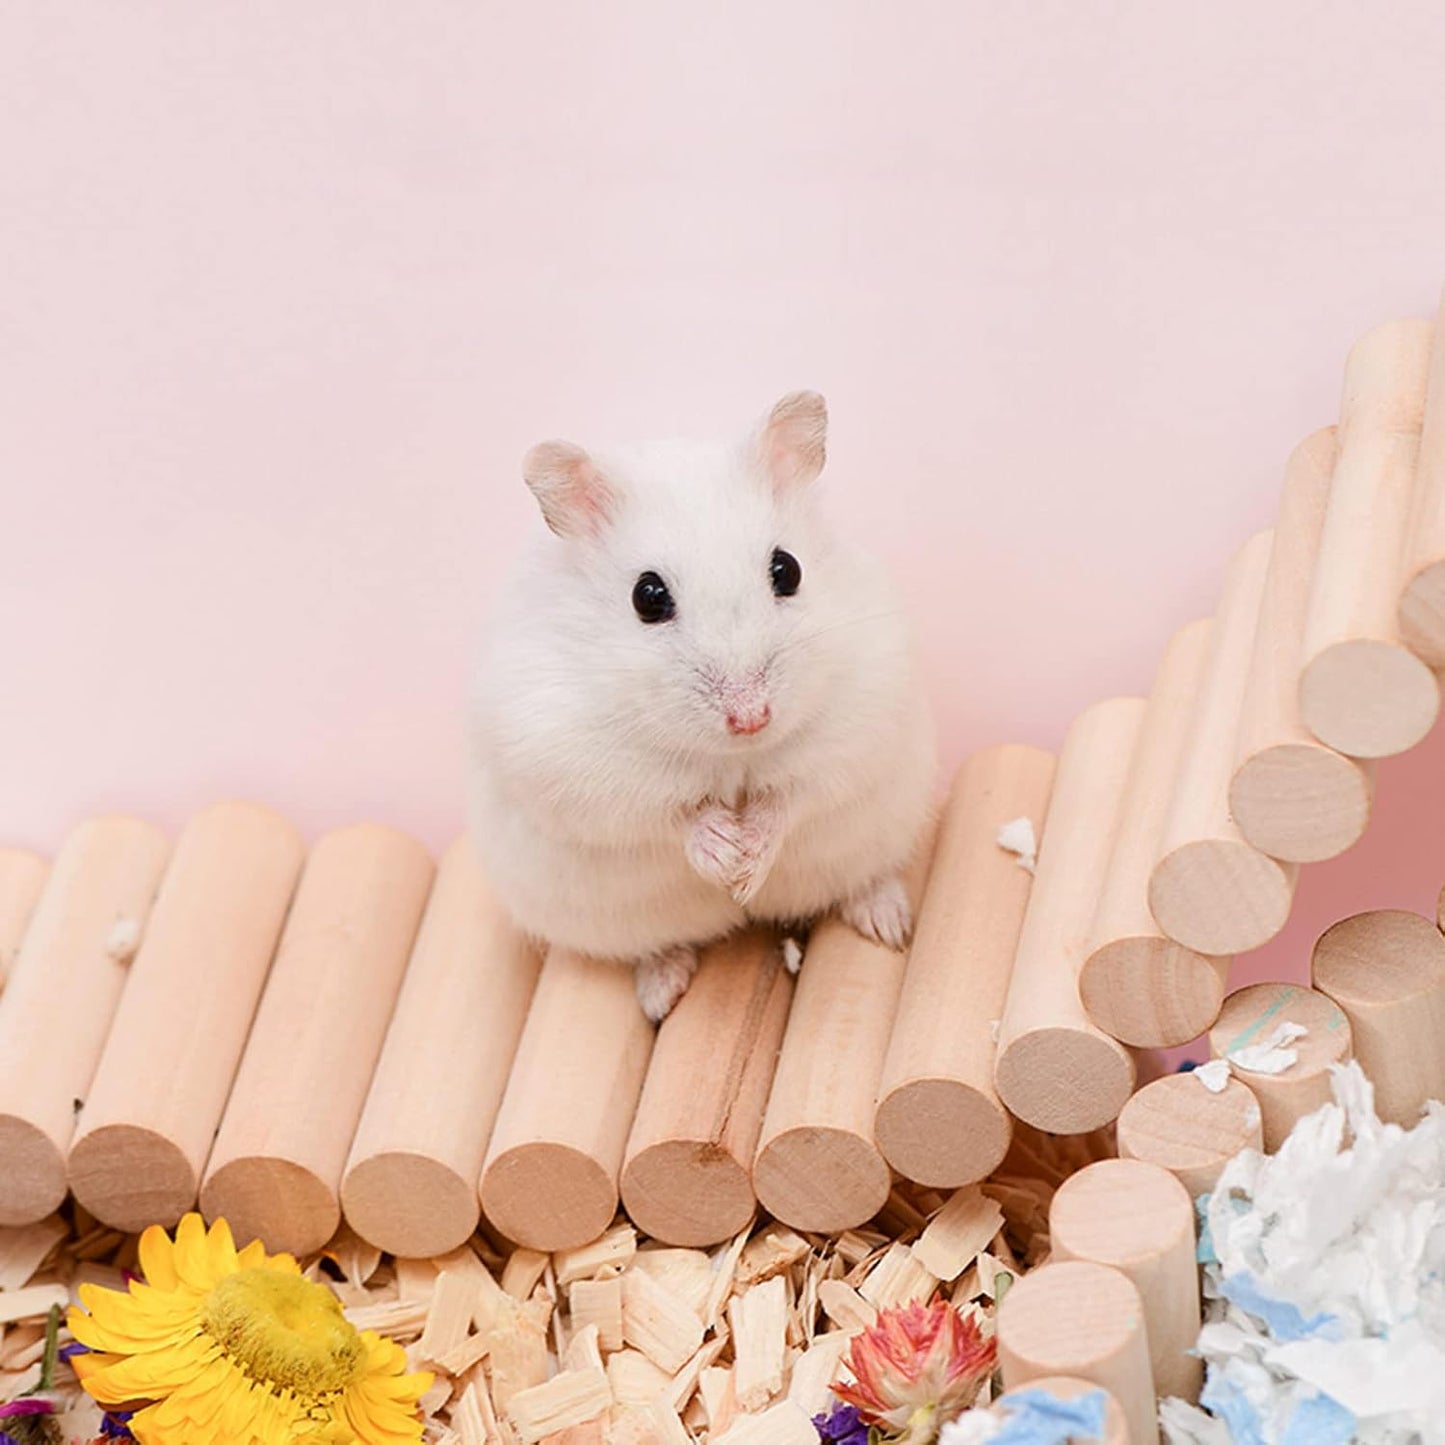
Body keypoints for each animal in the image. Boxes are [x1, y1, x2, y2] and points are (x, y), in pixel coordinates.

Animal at [468, 392, 936, 1021]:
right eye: (647, 596)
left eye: (787, 568)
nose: (751, 718)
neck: (731, 757)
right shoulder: (580, 766)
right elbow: (672, 814)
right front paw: (728, 863)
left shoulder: (858, 721)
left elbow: (790, 798)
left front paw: (747, 870)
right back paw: (661, 996)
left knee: (863, 880)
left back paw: (889, 927)